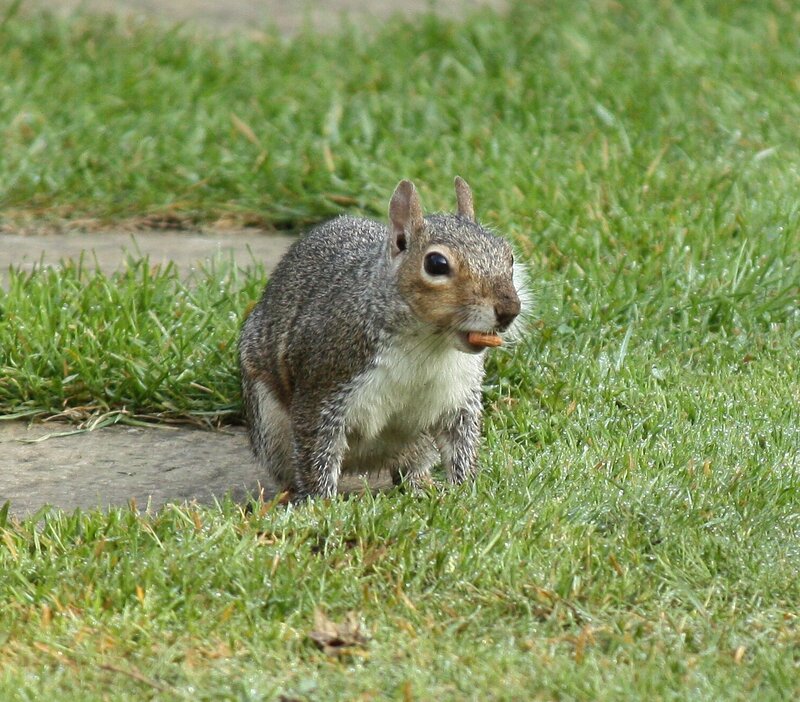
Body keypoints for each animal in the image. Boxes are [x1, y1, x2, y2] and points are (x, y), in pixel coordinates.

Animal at [238, 177, 528, 499]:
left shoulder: (459, 395)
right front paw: (321, 501)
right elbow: (317, 448)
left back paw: (421, 486)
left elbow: (462, 444)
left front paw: (467, 490)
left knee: (410, 467)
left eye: (509, 256)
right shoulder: (325, 383)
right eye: (436, 264)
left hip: (419, 443)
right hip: (271, 428)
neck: (427, 344)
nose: (509, 311)